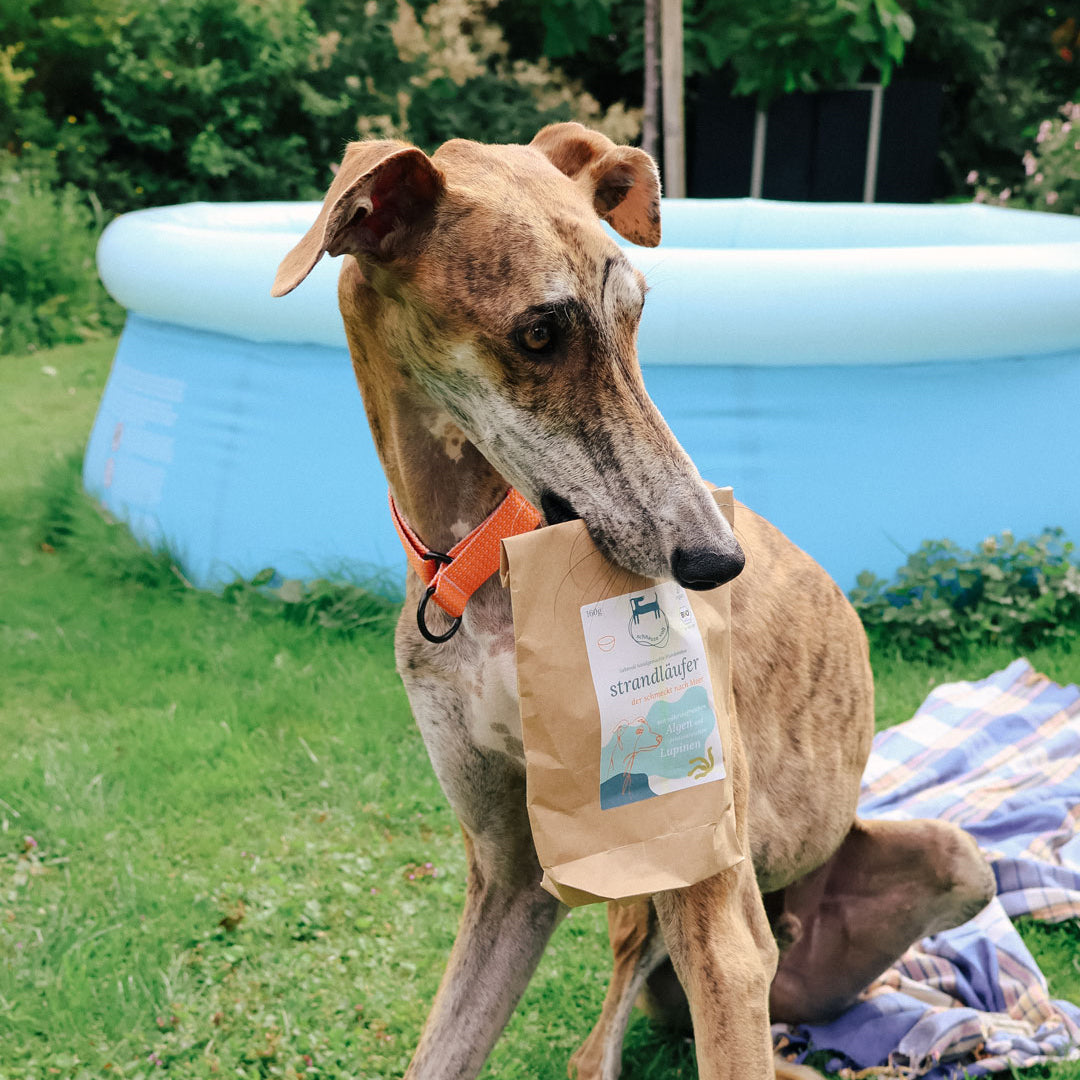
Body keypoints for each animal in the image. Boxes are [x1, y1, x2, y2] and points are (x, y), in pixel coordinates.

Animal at [272, 124, 993, 1080]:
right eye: (540, 332)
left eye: (637, 313)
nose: (716, 561)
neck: (477, 561)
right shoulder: (510, 878)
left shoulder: (718, 931)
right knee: (604, 1046)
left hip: (935, 868)